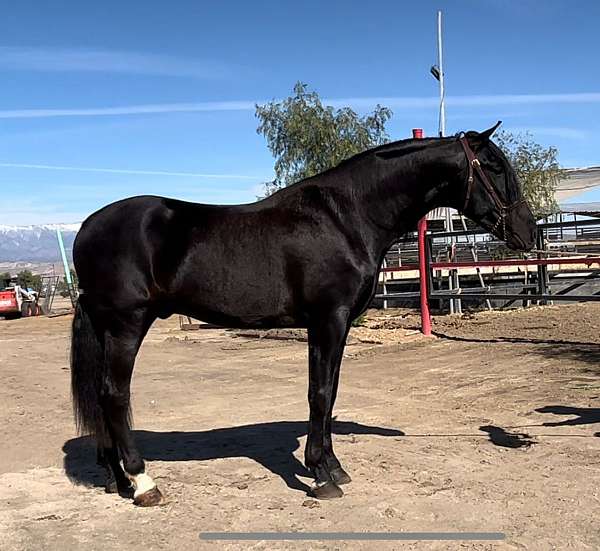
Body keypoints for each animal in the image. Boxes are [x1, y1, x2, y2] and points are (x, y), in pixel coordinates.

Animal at [69, 123, 536, 506]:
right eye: (493, 166)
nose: (528, 231)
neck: (346, 218)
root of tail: (86, 227)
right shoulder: (328, 319)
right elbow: (320, 394)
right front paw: (320, 476)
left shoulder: (337, 324)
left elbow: (330, 393)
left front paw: (333, 467)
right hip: (127, 325)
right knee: (114, 395)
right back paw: (144, 484)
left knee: (103, 396)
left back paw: (118, 480)